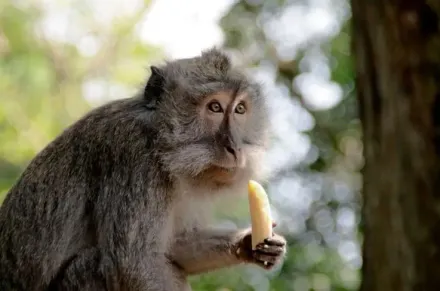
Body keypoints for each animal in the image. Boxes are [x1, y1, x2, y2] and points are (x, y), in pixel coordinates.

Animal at [0, 48, 288, 291]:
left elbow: (175, 248)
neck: (161, 144)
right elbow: (133, 264)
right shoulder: (134, 160)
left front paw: (249, 244)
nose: (235, 147)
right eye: (215, 107)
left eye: (240, 109)